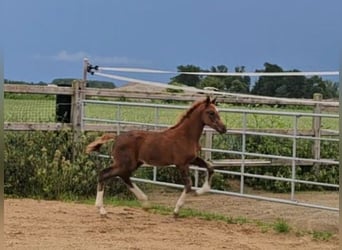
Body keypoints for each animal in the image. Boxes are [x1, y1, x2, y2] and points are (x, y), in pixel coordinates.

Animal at [85, 96, 226, 217]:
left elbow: (210, 167)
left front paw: (201, 191)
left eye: (218, 111)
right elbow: (189, 184)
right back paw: (102, 209)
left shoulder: (192, 159)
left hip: (133, 163)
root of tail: (117, 137)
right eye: (211, 112)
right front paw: (176, 210)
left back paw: (145, 203)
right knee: (104, 174)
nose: (224, 129)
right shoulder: (181, 164)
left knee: (124, 176)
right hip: (125, 163)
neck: (186, 136)